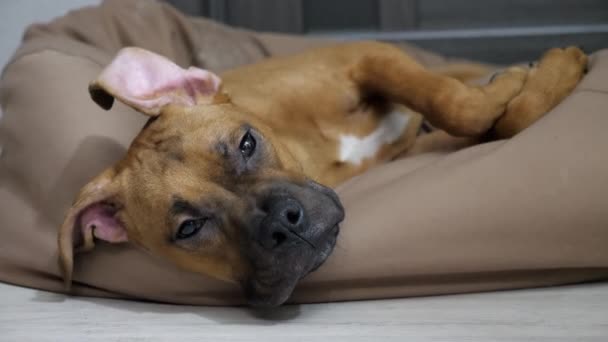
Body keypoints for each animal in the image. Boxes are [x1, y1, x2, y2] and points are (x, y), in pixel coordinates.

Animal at [59, 41, 588, 306]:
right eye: (189, 229)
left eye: (247, 143)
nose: (282, 225)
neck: (309, 150)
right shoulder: (413, 145)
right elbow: (490, 121)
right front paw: (528, 84)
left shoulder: (369, 56)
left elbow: (459, 105)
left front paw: (540, 74)